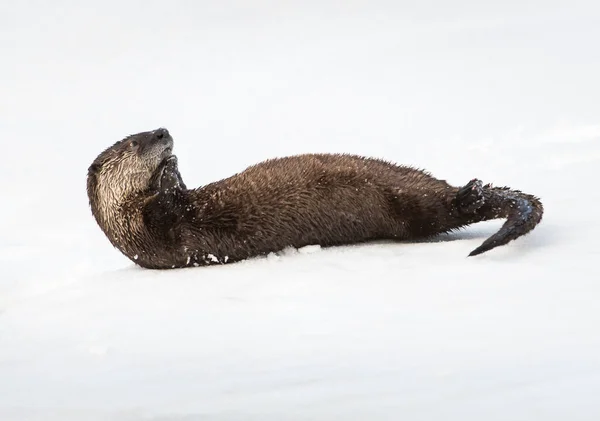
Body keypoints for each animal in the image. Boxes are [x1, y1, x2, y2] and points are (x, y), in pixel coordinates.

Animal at [85, 126, 544, 270]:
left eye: (150, 130)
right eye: (136, 142)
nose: (163, 132)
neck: (133, 226)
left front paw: (174, 164)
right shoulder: (161, 231)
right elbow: (171, 203)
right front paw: (168, 171)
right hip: (410, 201)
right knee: (443, 209)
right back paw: (471, 193)